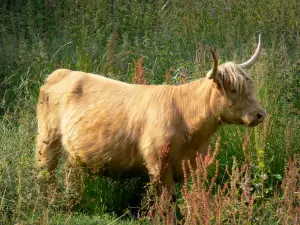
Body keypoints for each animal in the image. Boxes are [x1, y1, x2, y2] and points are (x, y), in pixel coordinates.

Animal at [35, 35, 268, 200]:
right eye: (234, 90)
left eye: (250, 87)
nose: (260, 114)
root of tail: (61, 72)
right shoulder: (158, 165)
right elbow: (167, 201)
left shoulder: (194, 164)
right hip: (47, 140)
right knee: (44, 172)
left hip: (74, 153)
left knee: (70, 176)